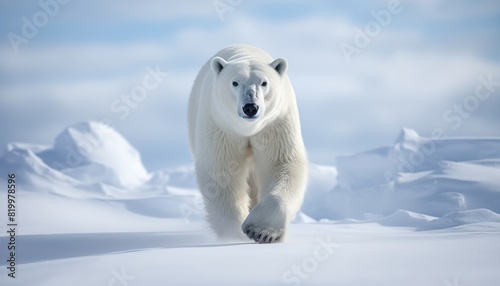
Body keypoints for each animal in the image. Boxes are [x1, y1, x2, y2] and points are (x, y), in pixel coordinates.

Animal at [188, 44, 306, 244]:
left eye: (264, 83)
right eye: (235, 82)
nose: (250, 107)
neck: (248, 129)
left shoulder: (275, 124)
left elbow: (281, 163)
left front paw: (261, 231)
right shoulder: (222, 127)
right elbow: (221, 172)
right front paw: (233, 234)